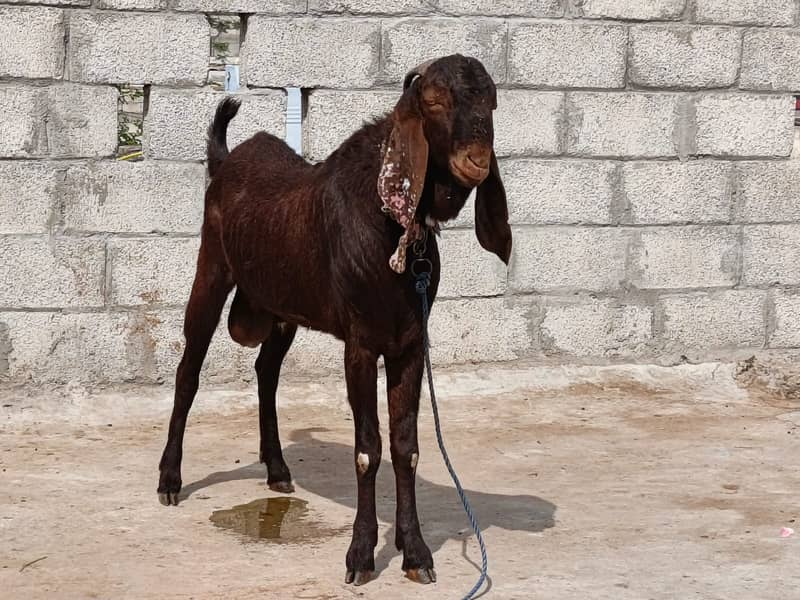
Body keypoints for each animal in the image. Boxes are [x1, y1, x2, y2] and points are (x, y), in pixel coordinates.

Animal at [157, 54, 511, 587]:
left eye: (491, 99)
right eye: (433, 100)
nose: (476, 161)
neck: (391, 231)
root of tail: (226, 160)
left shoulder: (410, 344)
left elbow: (405, 446)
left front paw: (415, 552)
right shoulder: (361, 344)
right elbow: (368, 448)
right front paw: (361, 555)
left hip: (282, 309)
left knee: (266, 372)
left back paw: (277, 469)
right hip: (212, 270)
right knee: (188, 370)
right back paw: (170, 478)